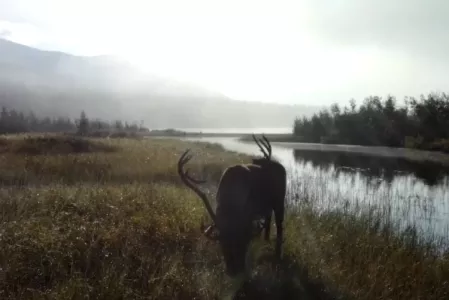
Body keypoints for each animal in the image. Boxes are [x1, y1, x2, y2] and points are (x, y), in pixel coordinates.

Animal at [177, 134, 286, 276]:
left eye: (244, 244)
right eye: (223, 244)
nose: (235, 271)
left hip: (280, 202)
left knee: (279, 227)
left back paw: (278, 255)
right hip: (267, 207)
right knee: (268, 221)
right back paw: (266, 242)